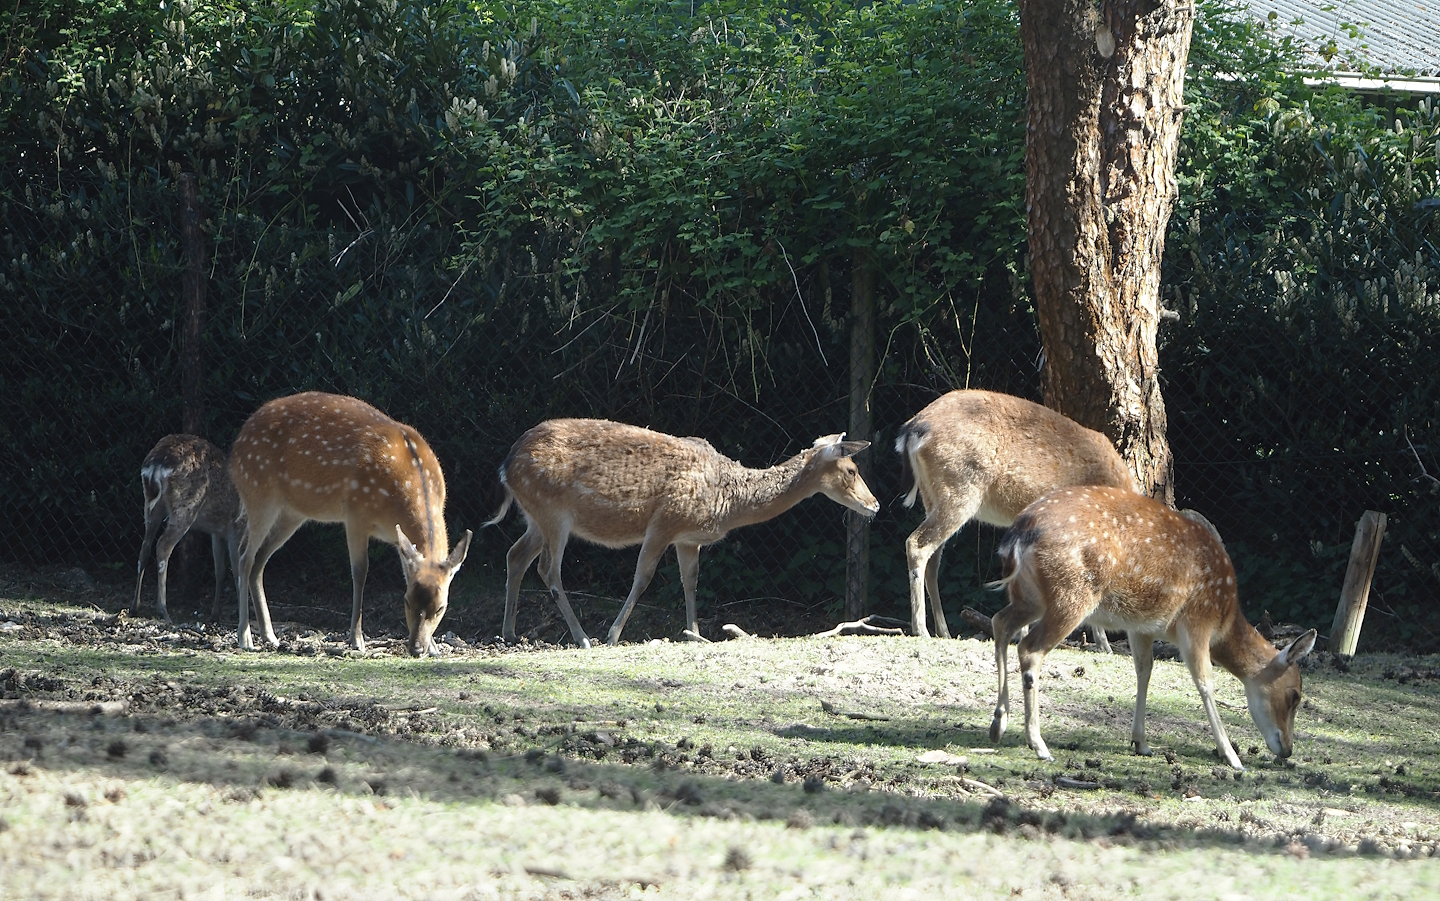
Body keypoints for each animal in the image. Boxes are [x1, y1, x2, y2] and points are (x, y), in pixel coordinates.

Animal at [133, 434, 242, 624]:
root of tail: (156, 465)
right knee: (162, 546)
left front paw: (215, 613)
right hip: (186, 506)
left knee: (144, 547)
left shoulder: (218, 532)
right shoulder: (235, 528)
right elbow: (237, 571)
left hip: (151, 505)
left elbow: (220, 570)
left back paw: (135, 606)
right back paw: (163, 610)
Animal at [228, 392, 472, 656]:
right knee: (244, 557)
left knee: (259, 560)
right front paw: (356, 640)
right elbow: (360, 572)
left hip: (291, 513)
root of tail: (238, 441)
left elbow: (405, 574)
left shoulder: (399, 540)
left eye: (441, 607)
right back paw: (245, 637)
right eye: (406, 601)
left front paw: (435, 647)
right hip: (259, 494)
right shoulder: (356, 514)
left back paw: (270, 635)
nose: (417, 648)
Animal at [486, 418, 880, 647]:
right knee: (548, 569)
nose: (875, 505)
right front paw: (613, 635)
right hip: (553, 513)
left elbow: (690, 580)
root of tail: (505, 466)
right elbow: (643, 577)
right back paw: (583, 638)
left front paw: (694, 634)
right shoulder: (665, 521)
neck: (727, 501)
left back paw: (510, 632)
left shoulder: (688, 539)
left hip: (535, 517)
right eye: (851, 469)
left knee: (515, 555)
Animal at [895, 389, 1138, 643]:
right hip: (959, 491)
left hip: (931, 496)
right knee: (916, 544)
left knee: (933, 560)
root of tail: (913, 429)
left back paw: (944, 631)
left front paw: (1021, 633)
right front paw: (1101, 643)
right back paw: (921, 629)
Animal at [987, 485, 1317, 770]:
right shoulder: (1196, 622)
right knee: (1029, 649)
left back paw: (998, 723)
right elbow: (1205, 683)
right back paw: (1038, 744)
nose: (1287, 749)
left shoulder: (1141, 627)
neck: (1224, 617)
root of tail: (1016, 537)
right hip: (1070, 596)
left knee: (999, 623)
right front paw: (1232, 757)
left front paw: (1141, 742)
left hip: (1029, 597)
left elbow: (1144, 671)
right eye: (1295, 695)